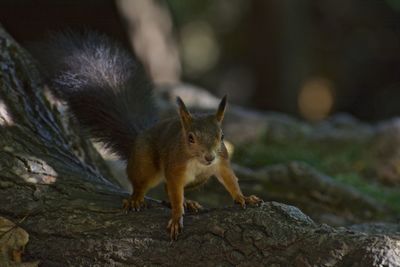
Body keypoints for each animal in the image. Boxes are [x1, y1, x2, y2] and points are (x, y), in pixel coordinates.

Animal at [33, 30, 262, 241]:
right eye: (190, 138)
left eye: (222, 136)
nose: (209, 157)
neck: (197, 161)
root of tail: (136, 143)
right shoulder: (175, 168)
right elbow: (175, 191)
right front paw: (177, 216)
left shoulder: (222, 162)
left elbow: (230, 180)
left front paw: (243, 197)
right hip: (146, 166)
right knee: (145, 184)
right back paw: (137, 199)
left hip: (199, 180)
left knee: (168, 189)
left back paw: (189, 202)